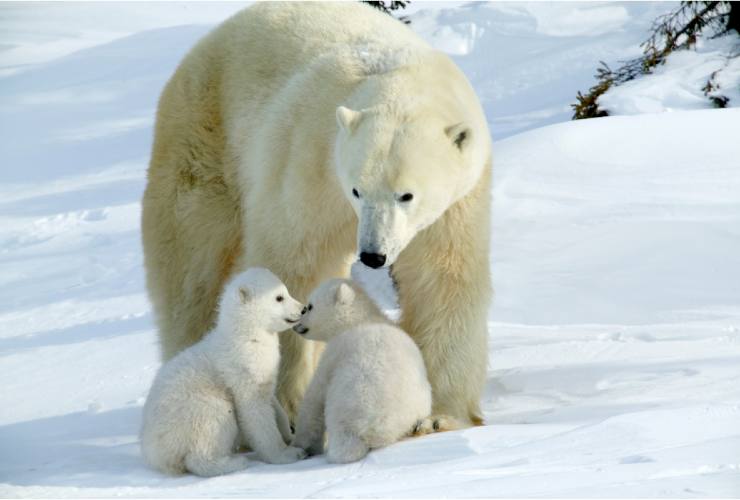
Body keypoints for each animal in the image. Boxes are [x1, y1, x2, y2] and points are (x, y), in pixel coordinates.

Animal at [139, 268, 306, 478]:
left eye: (285, 291)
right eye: (279, 297)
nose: (303, 308)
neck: (246, 335)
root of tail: (156, 455)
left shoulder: (263, 371)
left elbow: (273, 402)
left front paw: (289, 433)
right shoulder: (242, 368)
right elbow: (255, 411)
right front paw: (287, 454)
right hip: (195, 410)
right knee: (211, 428)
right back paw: (233, 462)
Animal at [142, 1, 494, 428]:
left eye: (406, 195)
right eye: (357, 189)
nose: (373, 255)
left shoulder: (456, 203)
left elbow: (442, 279)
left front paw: (442, 415)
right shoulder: (310, 162)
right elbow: (293, 263)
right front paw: (289, 404)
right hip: (204, 139)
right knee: (192, 269)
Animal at [292, 280, 434, 462]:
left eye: (309, 306)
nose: (296, 325)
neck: (361, 319)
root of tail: (375, 432)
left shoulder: (336, 351)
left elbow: (314, 398)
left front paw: (301, 445)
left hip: (347, 405)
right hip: (419, 402)